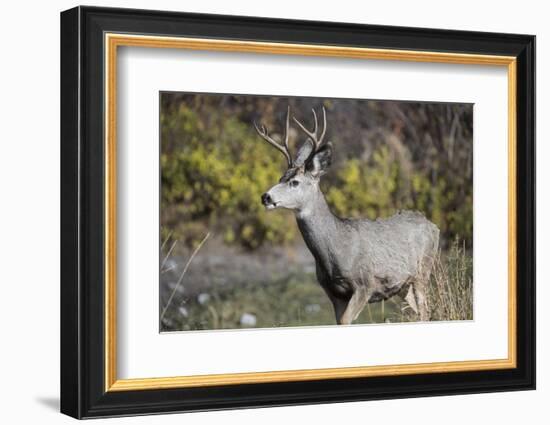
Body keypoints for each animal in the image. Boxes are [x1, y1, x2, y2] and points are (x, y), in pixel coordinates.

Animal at [256, 107, 442, 324]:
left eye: (295, 182)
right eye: (280, 178)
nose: (266, 197)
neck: (338, 250)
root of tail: (433, 225)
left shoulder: (365, 284)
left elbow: (346, 320)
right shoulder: (333, 292)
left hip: (423, 270)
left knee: (425, 310)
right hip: (404, 285)